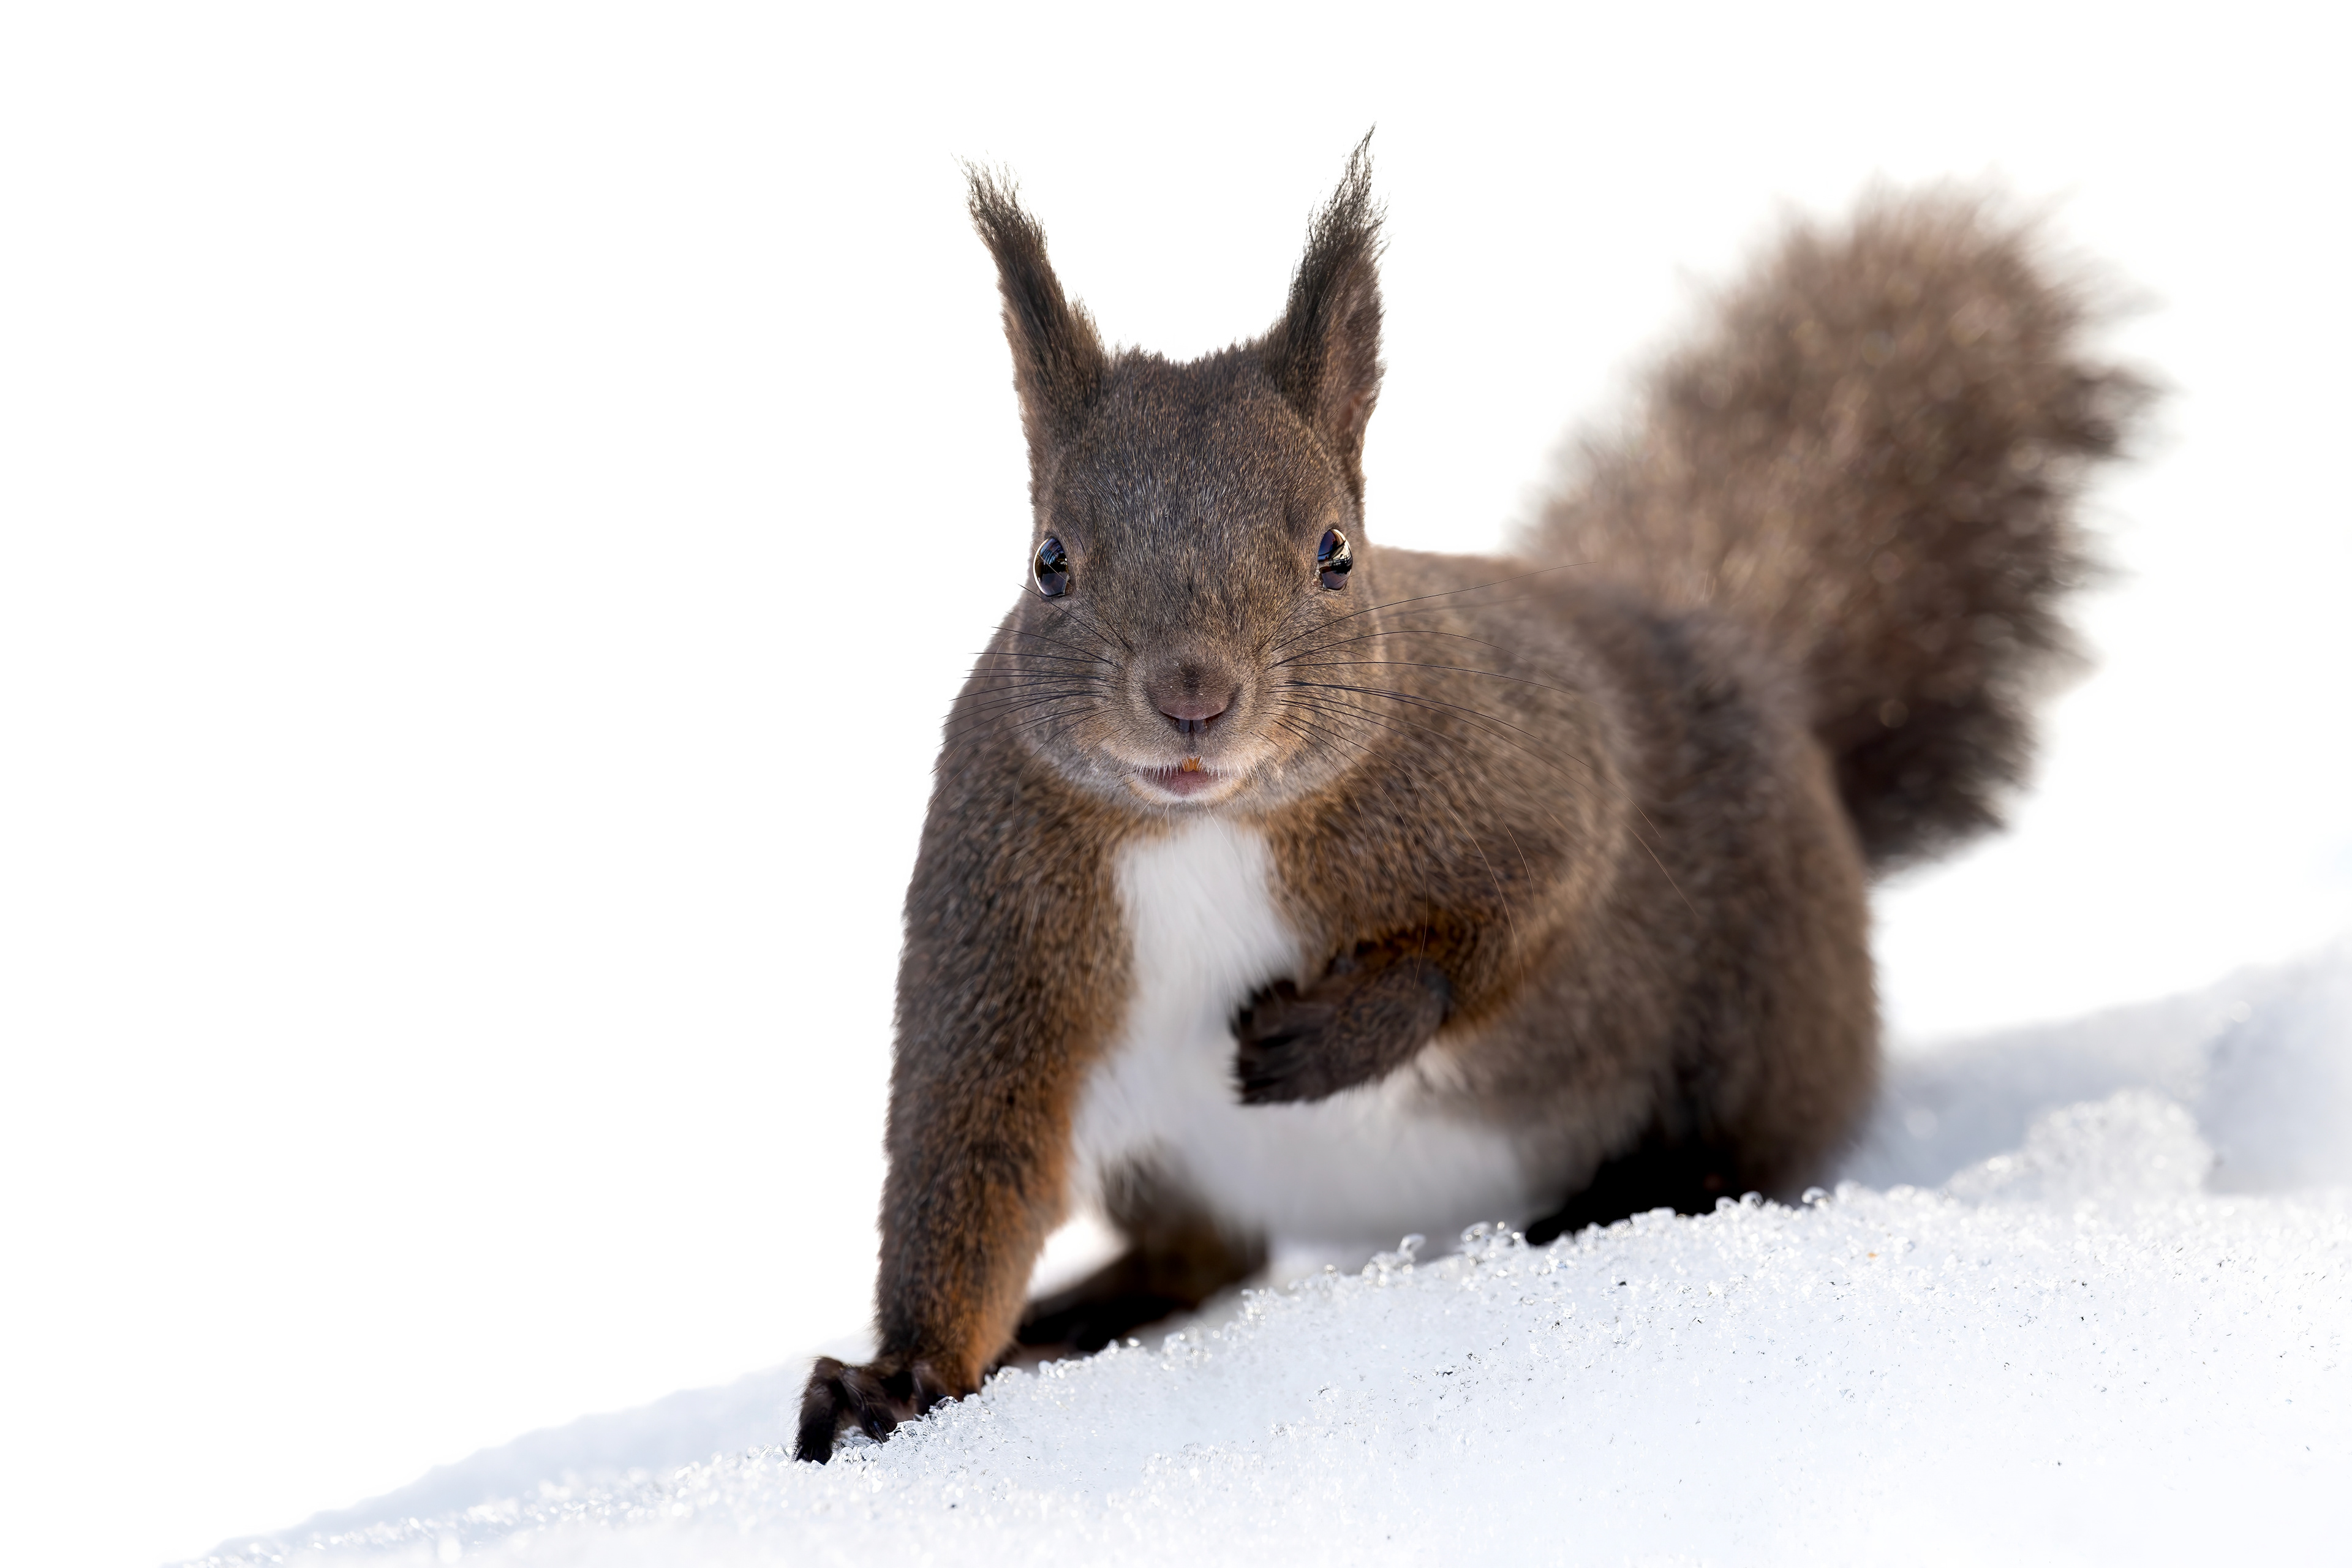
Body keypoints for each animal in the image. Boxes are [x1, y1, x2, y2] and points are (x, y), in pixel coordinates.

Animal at [795, 137, 2143, 1461]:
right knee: (1205, 1251)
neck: (1205, 826)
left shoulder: (1538, 764)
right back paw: (1084, 1310)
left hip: (1765, 1009)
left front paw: (1332, 1036)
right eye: (1049, 562)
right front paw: (897, 1378)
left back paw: (1618, 1199)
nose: (1192, 698)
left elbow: (1523, 910)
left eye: (1335, 552)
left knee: (1742, 1149)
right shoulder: (997, 914)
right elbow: (970, 1151)